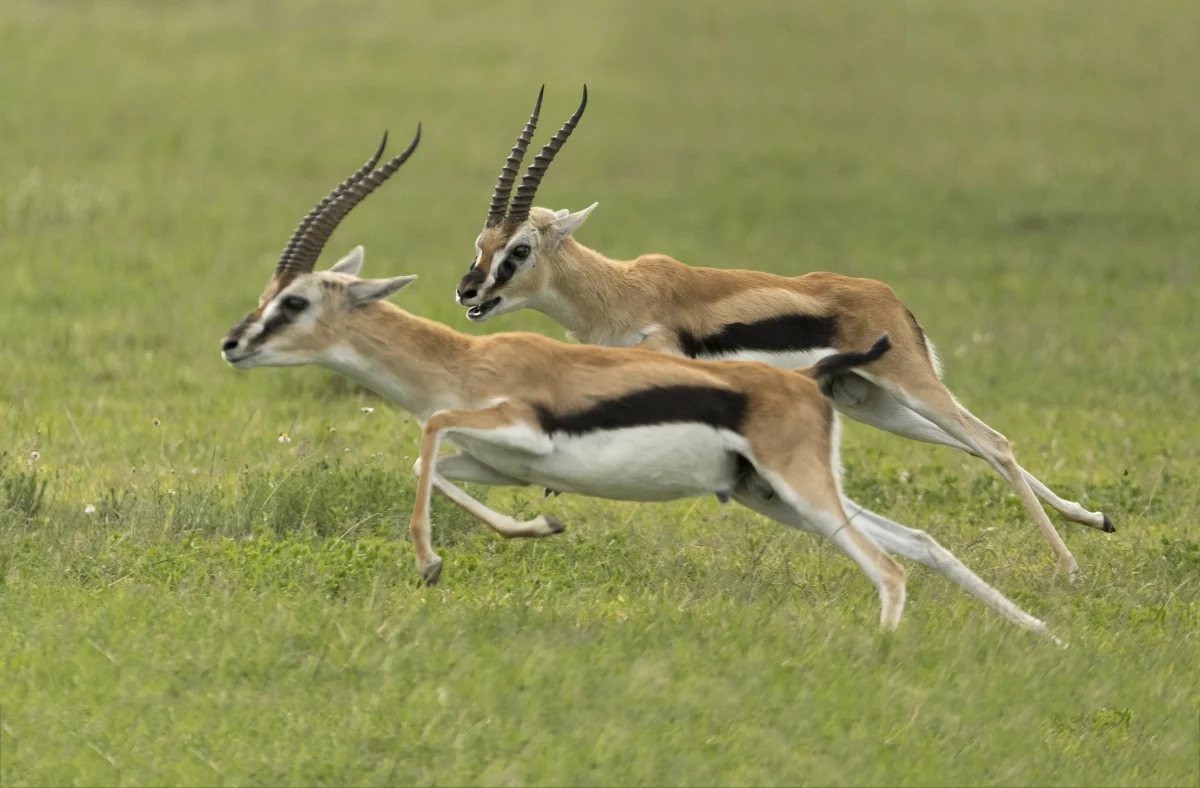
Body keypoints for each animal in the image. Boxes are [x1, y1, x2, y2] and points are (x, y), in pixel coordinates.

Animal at [456, 86, 1114, 577]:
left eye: (519, 249)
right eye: (481, 244)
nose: (468, 292)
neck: (620, 293)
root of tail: (890, 300)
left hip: (908, 385)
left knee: (993, 442)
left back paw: (1069, 567)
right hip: (872, 403)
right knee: (973, 444)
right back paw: (1094, 519)